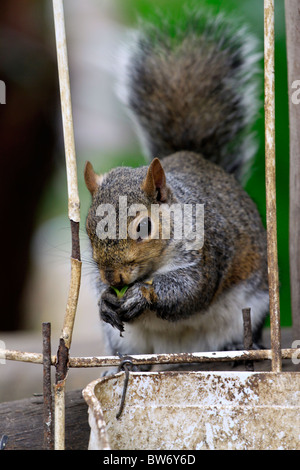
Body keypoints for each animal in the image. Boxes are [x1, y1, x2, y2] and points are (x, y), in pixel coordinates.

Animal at [84, 7, 268, 360]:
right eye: (86, 232)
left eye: (143, 228)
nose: (114, 277)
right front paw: (105, 300)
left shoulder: (208, 248)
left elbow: (191, 289)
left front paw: (141, 295)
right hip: (125, 342)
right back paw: (122, 365)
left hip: (252, 308)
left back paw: (239, 348)